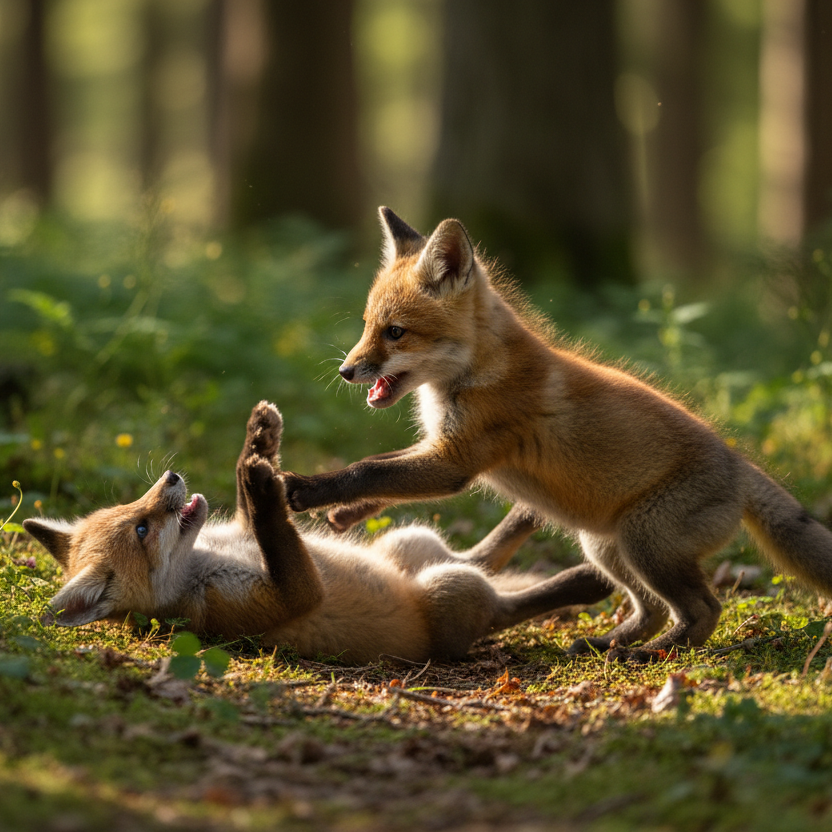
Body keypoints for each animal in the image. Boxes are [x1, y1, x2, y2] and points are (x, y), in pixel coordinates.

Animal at [22, 401, 612, 664]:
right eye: (143, 529)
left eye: (131, 508)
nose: (169, 478)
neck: (204, 560)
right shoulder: (267, 602)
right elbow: (275, 532)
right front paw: (258, 479)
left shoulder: (243, 533)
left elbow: (255, 513)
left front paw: (258, 442)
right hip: (449, 594)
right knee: (501, 606)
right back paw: (584, 580)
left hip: (409, 544)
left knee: (481, 557)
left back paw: (537, 512)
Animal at [283, 206, 832, 659]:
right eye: (366, 325)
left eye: (395, 332)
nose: (345, 371)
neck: (474, 373)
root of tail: (740, 465)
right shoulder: (439, 449)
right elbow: (380, 471)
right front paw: (345, 512)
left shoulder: (455, 460)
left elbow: (367, 469)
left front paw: (306, 489)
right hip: (607, 547)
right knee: (652, 608)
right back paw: (607, 643)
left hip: (646, 541)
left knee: (703, 609)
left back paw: (652, 655)